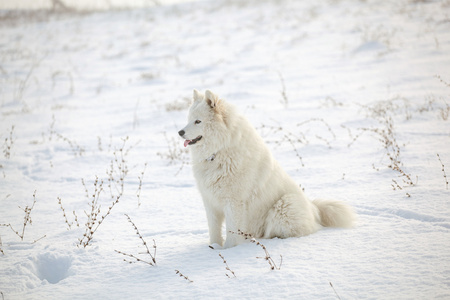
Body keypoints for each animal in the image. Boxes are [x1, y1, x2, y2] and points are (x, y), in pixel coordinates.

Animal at [178, 89, 356, 248]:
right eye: (188, 119)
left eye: (198, 121)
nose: (180, 132)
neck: (220, 151)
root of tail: (315, 210)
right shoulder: (210, 202)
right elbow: (214, 230)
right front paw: (213, 248)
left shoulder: (234, 203)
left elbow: (232, 232)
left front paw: (229, 251)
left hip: (283, 206)